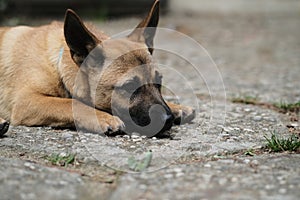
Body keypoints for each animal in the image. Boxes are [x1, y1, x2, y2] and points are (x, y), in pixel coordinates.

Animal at [0, 0, 195, 137]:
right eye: (129, 87)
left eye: (159, 82)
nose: (168, 120)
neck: (58, 65)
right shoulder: (26, 101)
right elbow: (67, 103)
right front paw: (102, 117)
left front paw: (176, 107)